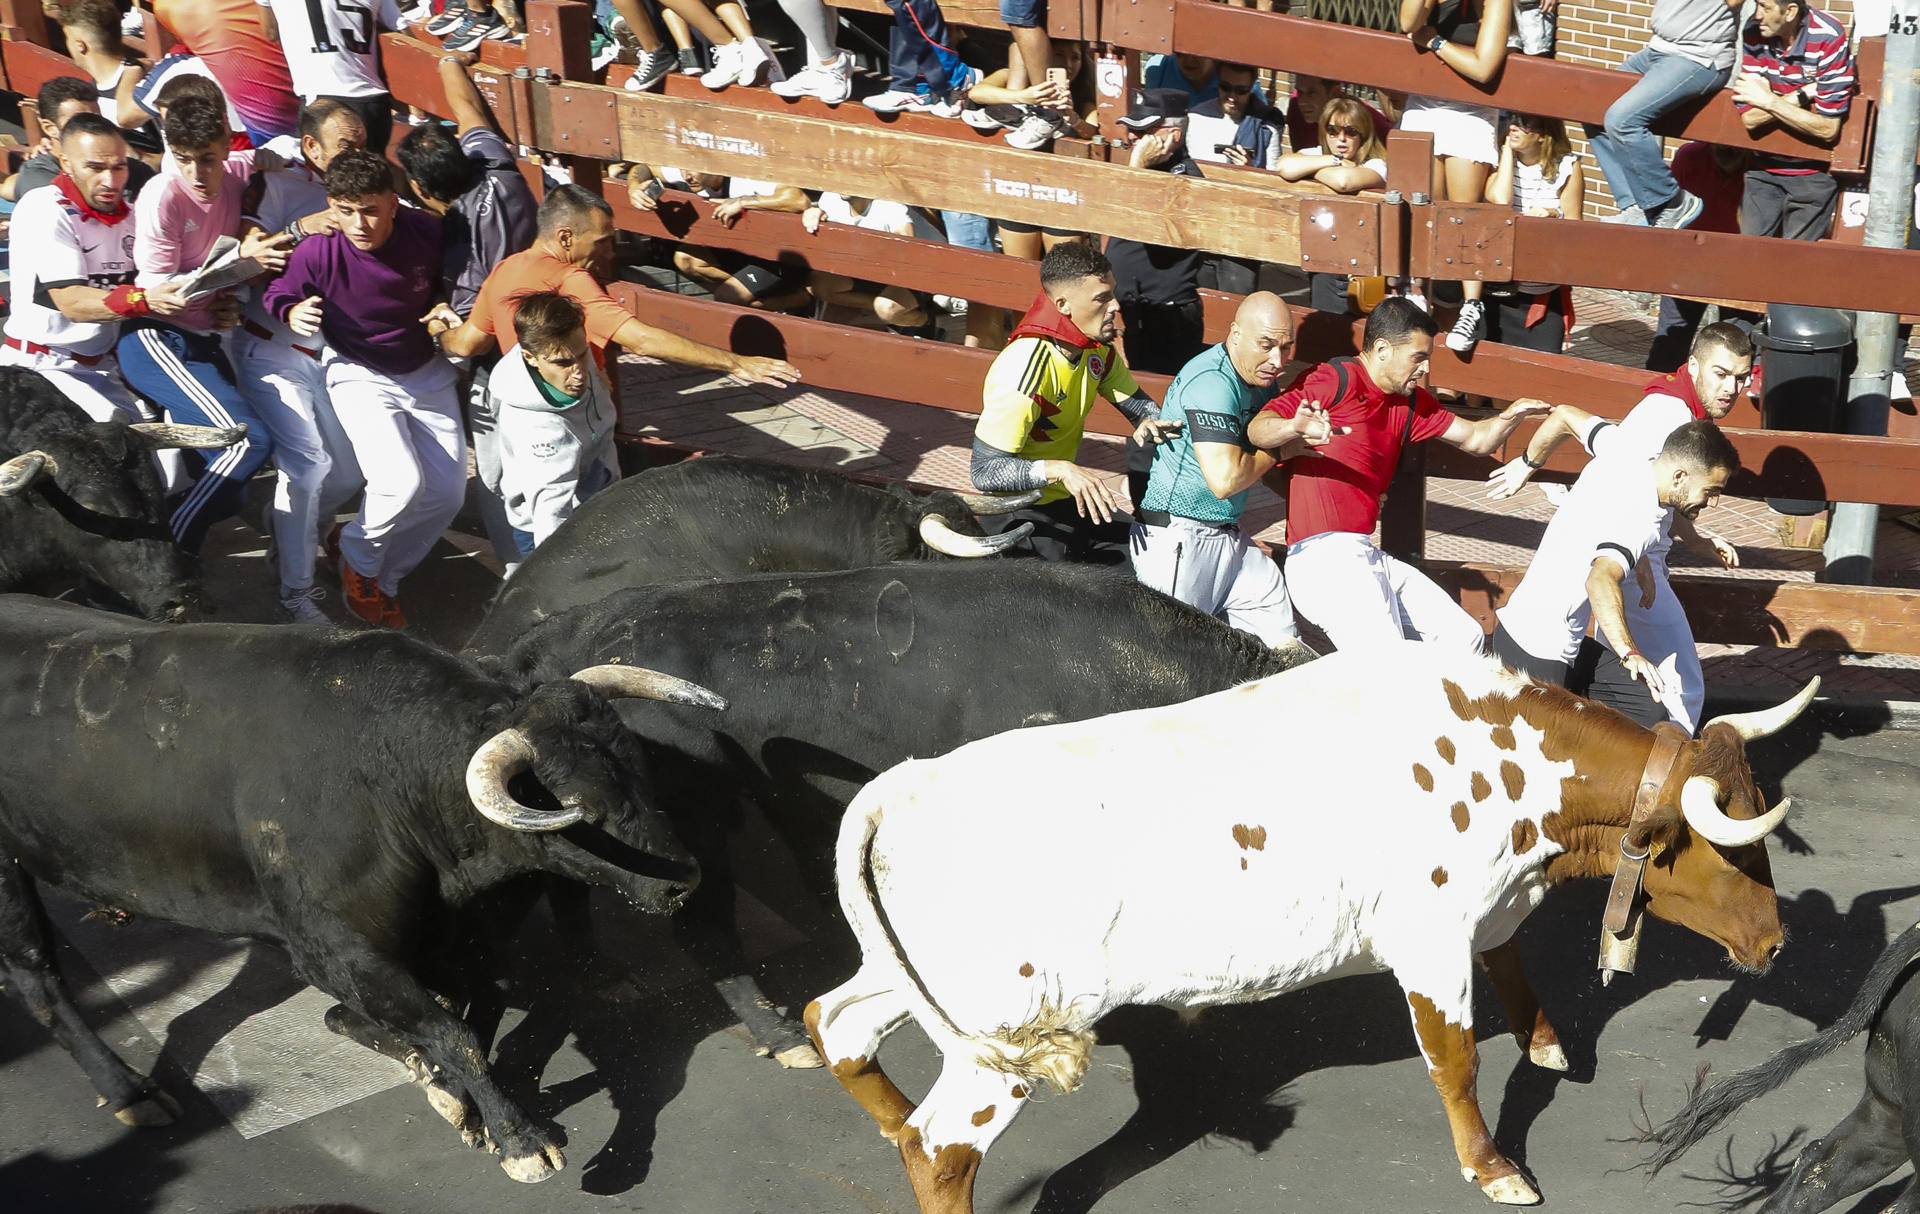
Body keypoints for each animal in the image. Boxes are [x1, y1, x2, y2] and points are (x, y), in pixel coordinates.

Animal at [0, 599, 714, 1183]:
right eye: (578, 810)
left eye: (641, 769)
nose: (686, 881)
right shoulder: (335, 951)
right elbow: (452, 1031)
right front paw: (518, 1138)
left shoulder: (445, 939)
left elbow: (471, 1005)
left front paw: (446, 1087)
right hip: (8, 875)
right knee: (39, 977)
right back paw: (131, 1092)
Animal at [806, 641, 1812, 1206]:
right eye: (1731, 847)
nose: (1776, 941)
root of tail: (905, 783)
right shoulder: (1429, 940)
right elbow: (1456, 1062)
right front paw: (1492, 1166)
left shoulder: (1487, 912)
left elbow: (1516, 970)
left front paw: (1548, 1042)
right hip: (1008, 1031)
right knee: (939, 1148)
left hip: (929, 986)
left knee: (837, 1023)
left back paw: (878, 1108)